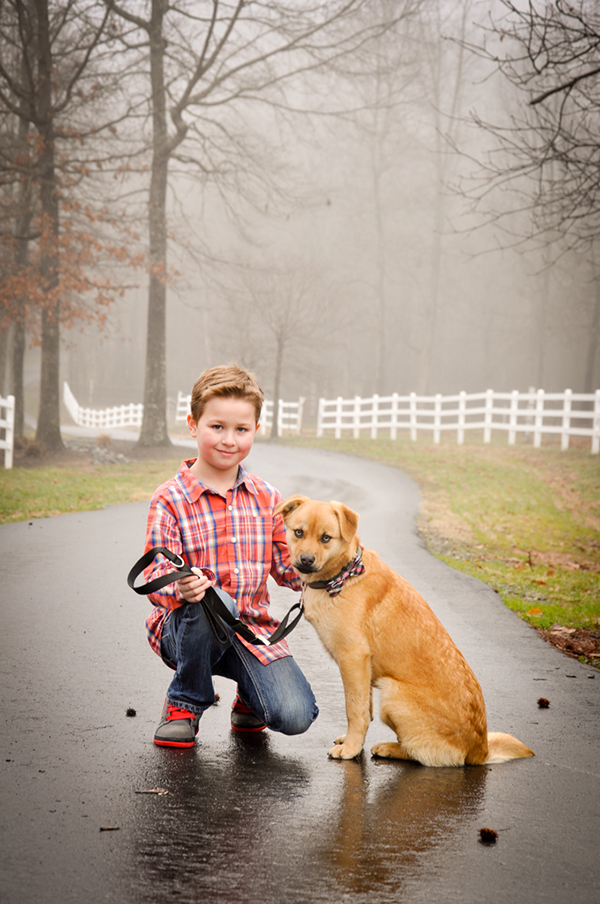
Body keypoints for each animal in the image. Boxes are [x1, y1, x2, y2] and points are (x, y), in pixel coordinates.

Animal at [274, 490, 532, 768]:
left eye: (325, 538)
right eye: (298, 532)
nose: (306, 560)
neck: (344, 575)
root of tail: (480, 750)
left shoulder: (353, 658)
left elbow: (355, 710)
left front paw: (351, 749)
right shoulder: (362, 668)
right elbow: (365, 708)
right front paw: (352, 741)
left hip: (392, 694)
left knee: (424, 754)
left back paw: (389, 748)